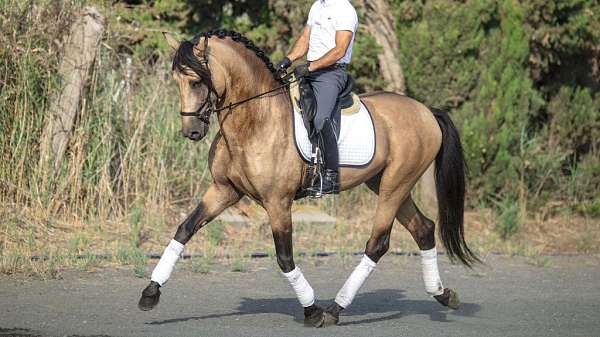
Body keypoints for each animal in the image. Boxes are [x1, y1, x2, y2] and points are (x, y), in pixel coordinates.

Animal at [137, 30, 478, 326]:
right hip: (386, 183)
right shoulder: (224, 190)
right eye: (177, 81)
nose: (191, 132)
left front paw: (312, 311)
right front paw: (150, 293)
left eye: (196, 81)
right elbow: (184, 229)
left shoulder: (277, 202)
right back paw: (442, 294)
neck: (255, 121)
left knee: (377, 243)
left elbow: (285, 257)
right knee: (423, 229)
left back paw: (336, 309)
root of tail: (426, 111)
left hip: (396, 185)